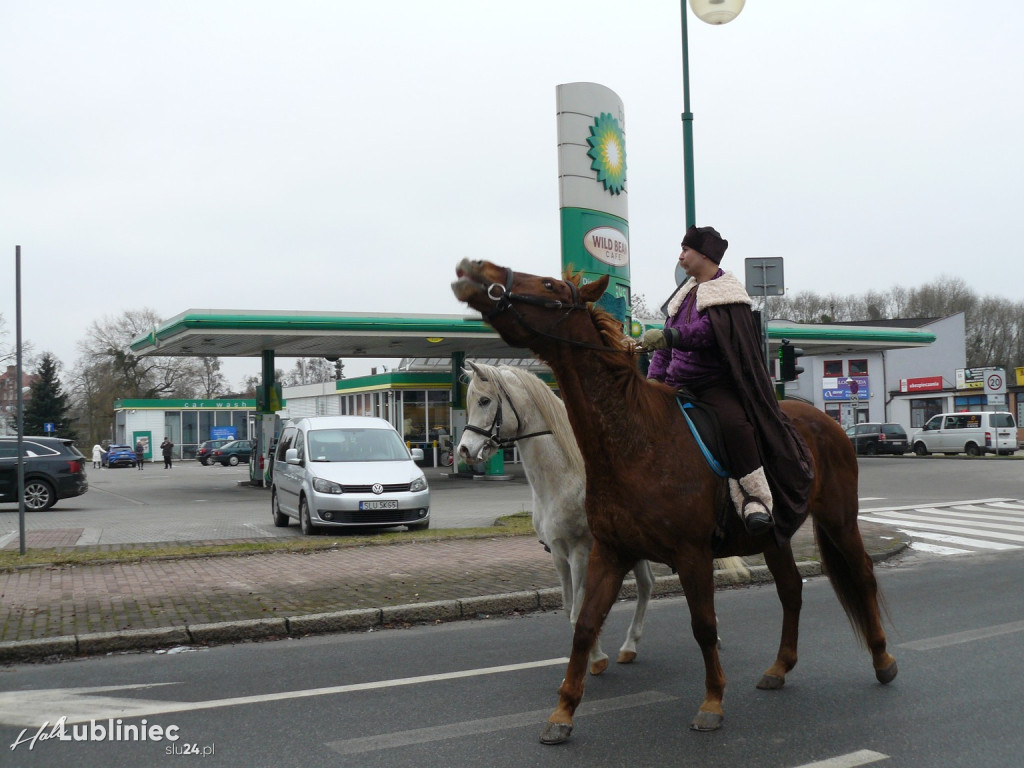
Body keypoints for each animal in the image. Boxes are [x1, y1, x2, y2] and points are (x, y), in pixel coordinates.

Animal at [458, 360, 651, 671]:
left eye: (485, 400)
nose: (464, 450)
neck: (563, 478)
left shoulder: (580, 552)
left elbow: (580, 610)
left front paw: (595, 659)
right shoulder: (559, 554)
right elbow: (569, 608)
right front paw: (594, 654)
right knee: (647, 585)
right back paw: (629, 647)